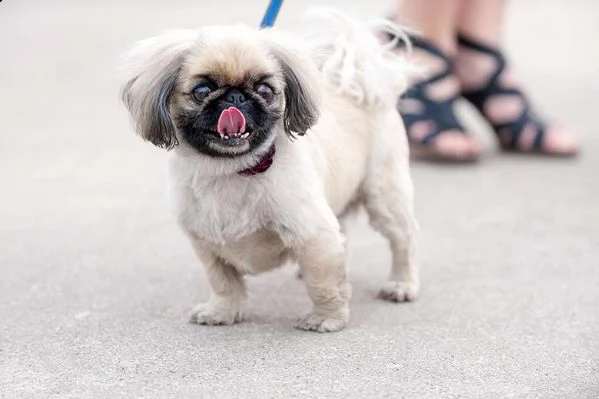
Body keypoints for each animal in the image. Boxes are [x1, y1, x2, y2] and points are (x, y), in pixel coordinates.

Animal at [121, 10, 420, 334]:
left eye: (264, 89)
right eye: (202, 90)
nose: (235, 98)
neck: (232, 171)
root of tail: (355, 85)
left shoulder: (313, 233)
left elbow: (324, 283)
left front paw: (326, 317)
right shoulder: (206, 244)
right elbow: (223, 283)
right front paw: (222, 311)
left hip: (384, 197)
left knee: (403, 241)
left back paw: (402, 284)